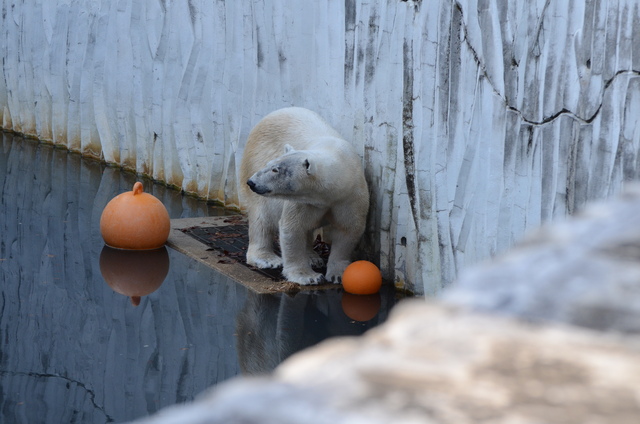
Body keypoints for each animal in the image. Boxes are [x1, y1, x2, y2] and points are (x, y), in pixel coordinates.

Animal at [240, 107, 370, 284]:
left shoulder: (350, 196)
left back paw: (312, 257)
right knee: (262, 217)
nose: (252, 182)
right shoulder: (304, 200)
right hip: (255, 158)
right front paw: (307, 277)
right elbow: (293, 228)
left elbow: (348, 230)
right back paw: (267, 258)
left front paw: (337, 274)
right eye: (271, 165)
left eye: (275, 169)